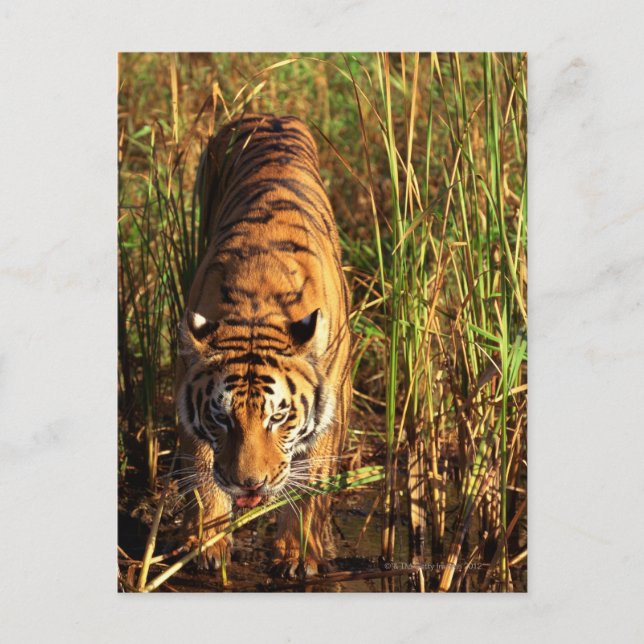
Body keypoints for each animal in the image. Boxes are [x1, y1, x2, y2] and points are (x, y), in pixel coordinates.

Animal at [175, 113, 352, 578]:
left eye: (279, 417)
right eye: (221, 417)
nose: (248, 484)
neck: (258, 305)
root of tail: (272, 114)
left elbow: (309, 484)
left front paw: (299, 556)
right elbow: (203, 471)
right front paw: (207, 544)